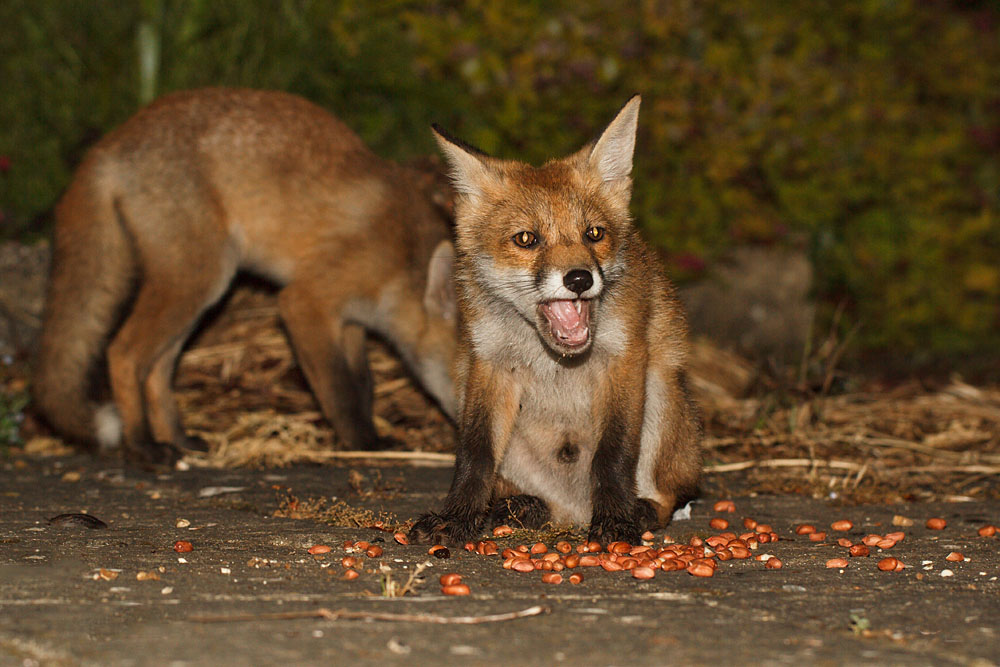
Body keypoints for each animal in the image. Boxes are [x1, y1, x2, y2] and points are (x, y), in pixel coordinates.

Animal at [33, 88, 457, 465]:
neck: (401, 258)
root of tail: (110, 142)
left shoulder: (350, 321)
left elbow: (364, 385)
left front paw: (367, 434)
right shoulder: (306, 301)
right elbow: (341, 391)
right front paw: (363, 444)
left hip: (197, 292)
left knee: (157, 368)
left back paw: (179, 439)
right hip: (201, 276)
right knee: (123, 352)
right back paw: (142, 446)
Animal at [409, 96, 702, 545]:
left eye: (594, 234)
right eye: (527, 239)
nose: (579, 279)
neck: (554, 356)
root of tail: (575, 515)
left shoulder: (624, 357)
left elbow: (613, 455)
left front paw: (615, 520)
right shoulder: (489, 363)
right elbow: (474, 454)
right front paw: (458, 516)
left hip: (661, 392)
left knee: (667, 496)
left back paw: (640, 511)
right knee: (525, 493)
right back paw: (519, 507)